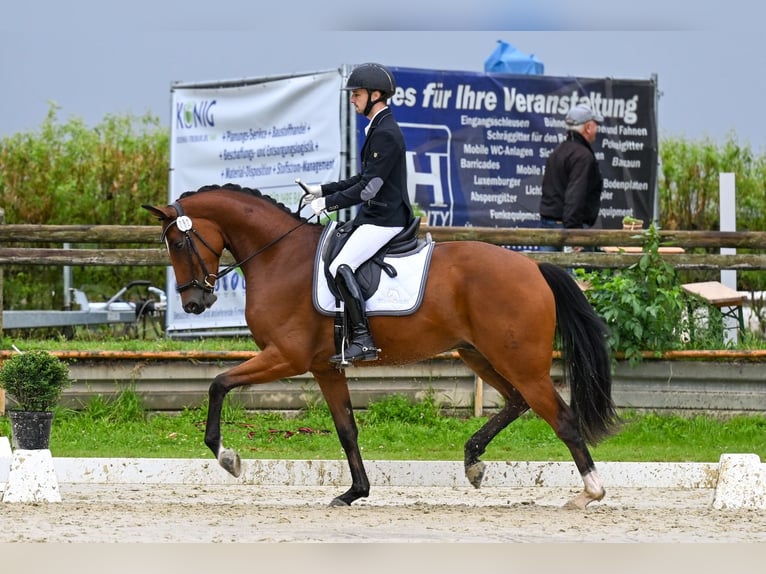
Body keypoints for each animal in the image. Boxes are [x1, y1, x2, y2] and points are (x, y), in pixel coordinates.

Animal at [144, 183, 620, 508]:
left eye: (179, 241)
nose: (194, 302)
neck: (279, 257)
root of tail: (535, 268)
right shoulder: (325, 366)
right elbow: (346, 429)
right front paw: (355, 491)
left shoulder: (286, 357)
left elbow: (219, 384)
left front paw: (228, 457)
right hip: (480, 354)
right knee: (517, 401)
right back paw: (473, 461)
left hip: (520, 361)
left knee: (561, 417)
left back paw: (590, 493)